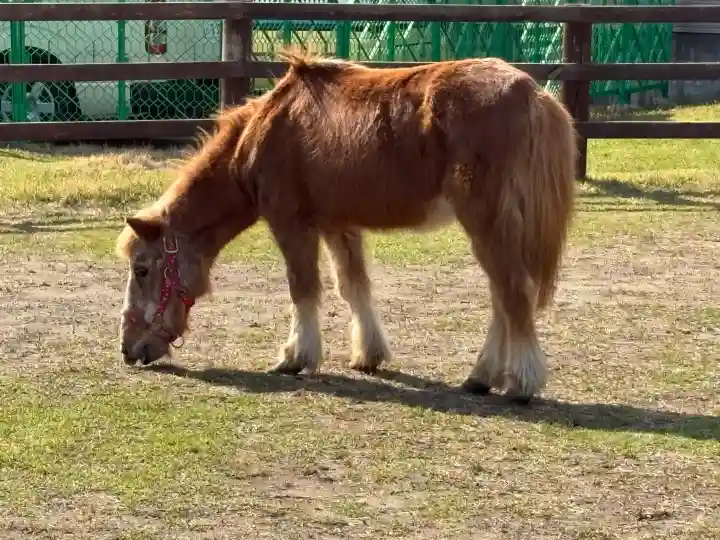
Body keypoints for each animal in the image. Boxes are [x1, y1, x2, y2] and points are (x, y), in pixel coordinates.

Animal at [115, 51, 577, 404]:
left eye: (142, 269)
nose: (129, 349)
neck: (265, 129)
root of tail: (533, 95)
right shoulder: (339, 225)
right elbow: (354, 286)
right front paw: (368, 355)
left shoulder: (291, 223)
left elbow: (303, 287)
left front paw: (296, 356)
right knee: (503, 297)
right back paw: (482, 377)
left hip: (487, 223)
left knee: (513, 292)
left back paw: (520, 382)